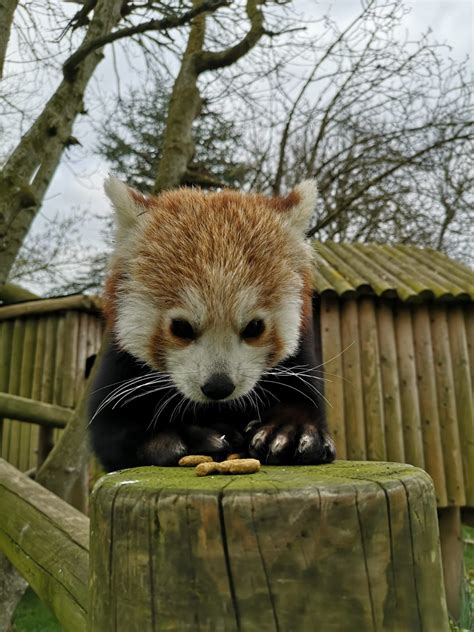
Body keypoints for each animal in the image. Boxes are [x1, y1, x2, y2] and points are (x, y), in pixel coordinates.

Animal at [87, 177, 336, 470]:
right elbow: (110, 430)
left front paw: (290, 429)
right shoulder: (119, 364)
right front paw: (181, 437)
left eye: (254, 327)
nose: (218, 387)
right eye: (181, 328)